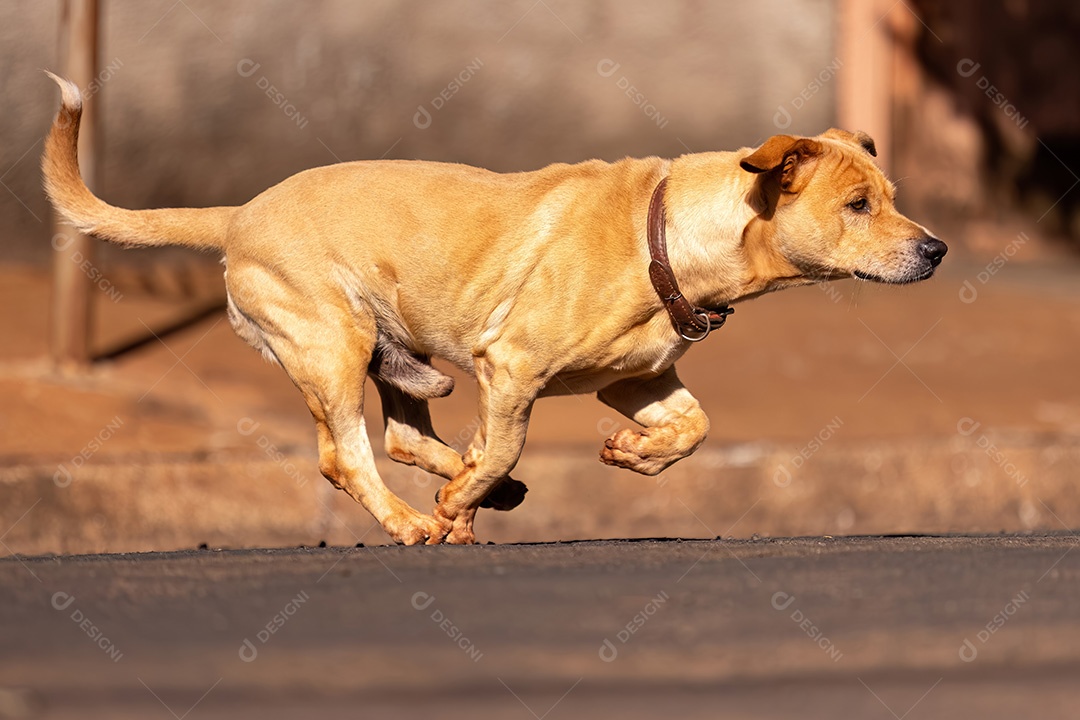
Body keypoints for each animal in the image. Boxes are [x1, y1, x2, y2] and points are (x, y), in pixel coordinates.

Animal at [42, 74, 946, 546]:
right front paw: (464, 499)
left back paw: (475, 493)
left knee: (405, 438)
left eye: (892, 196)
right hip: (335, 344)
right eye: (860, 205)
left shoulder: (635, 380)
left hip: (402, 356)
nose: (937, 250)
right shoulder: (510, 368)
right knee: (349, 457)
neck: (662, 233)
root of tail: (235, 217)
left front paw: (632, 455)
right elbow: (508, 440)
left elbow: (693, 428)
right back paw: (416, 520)